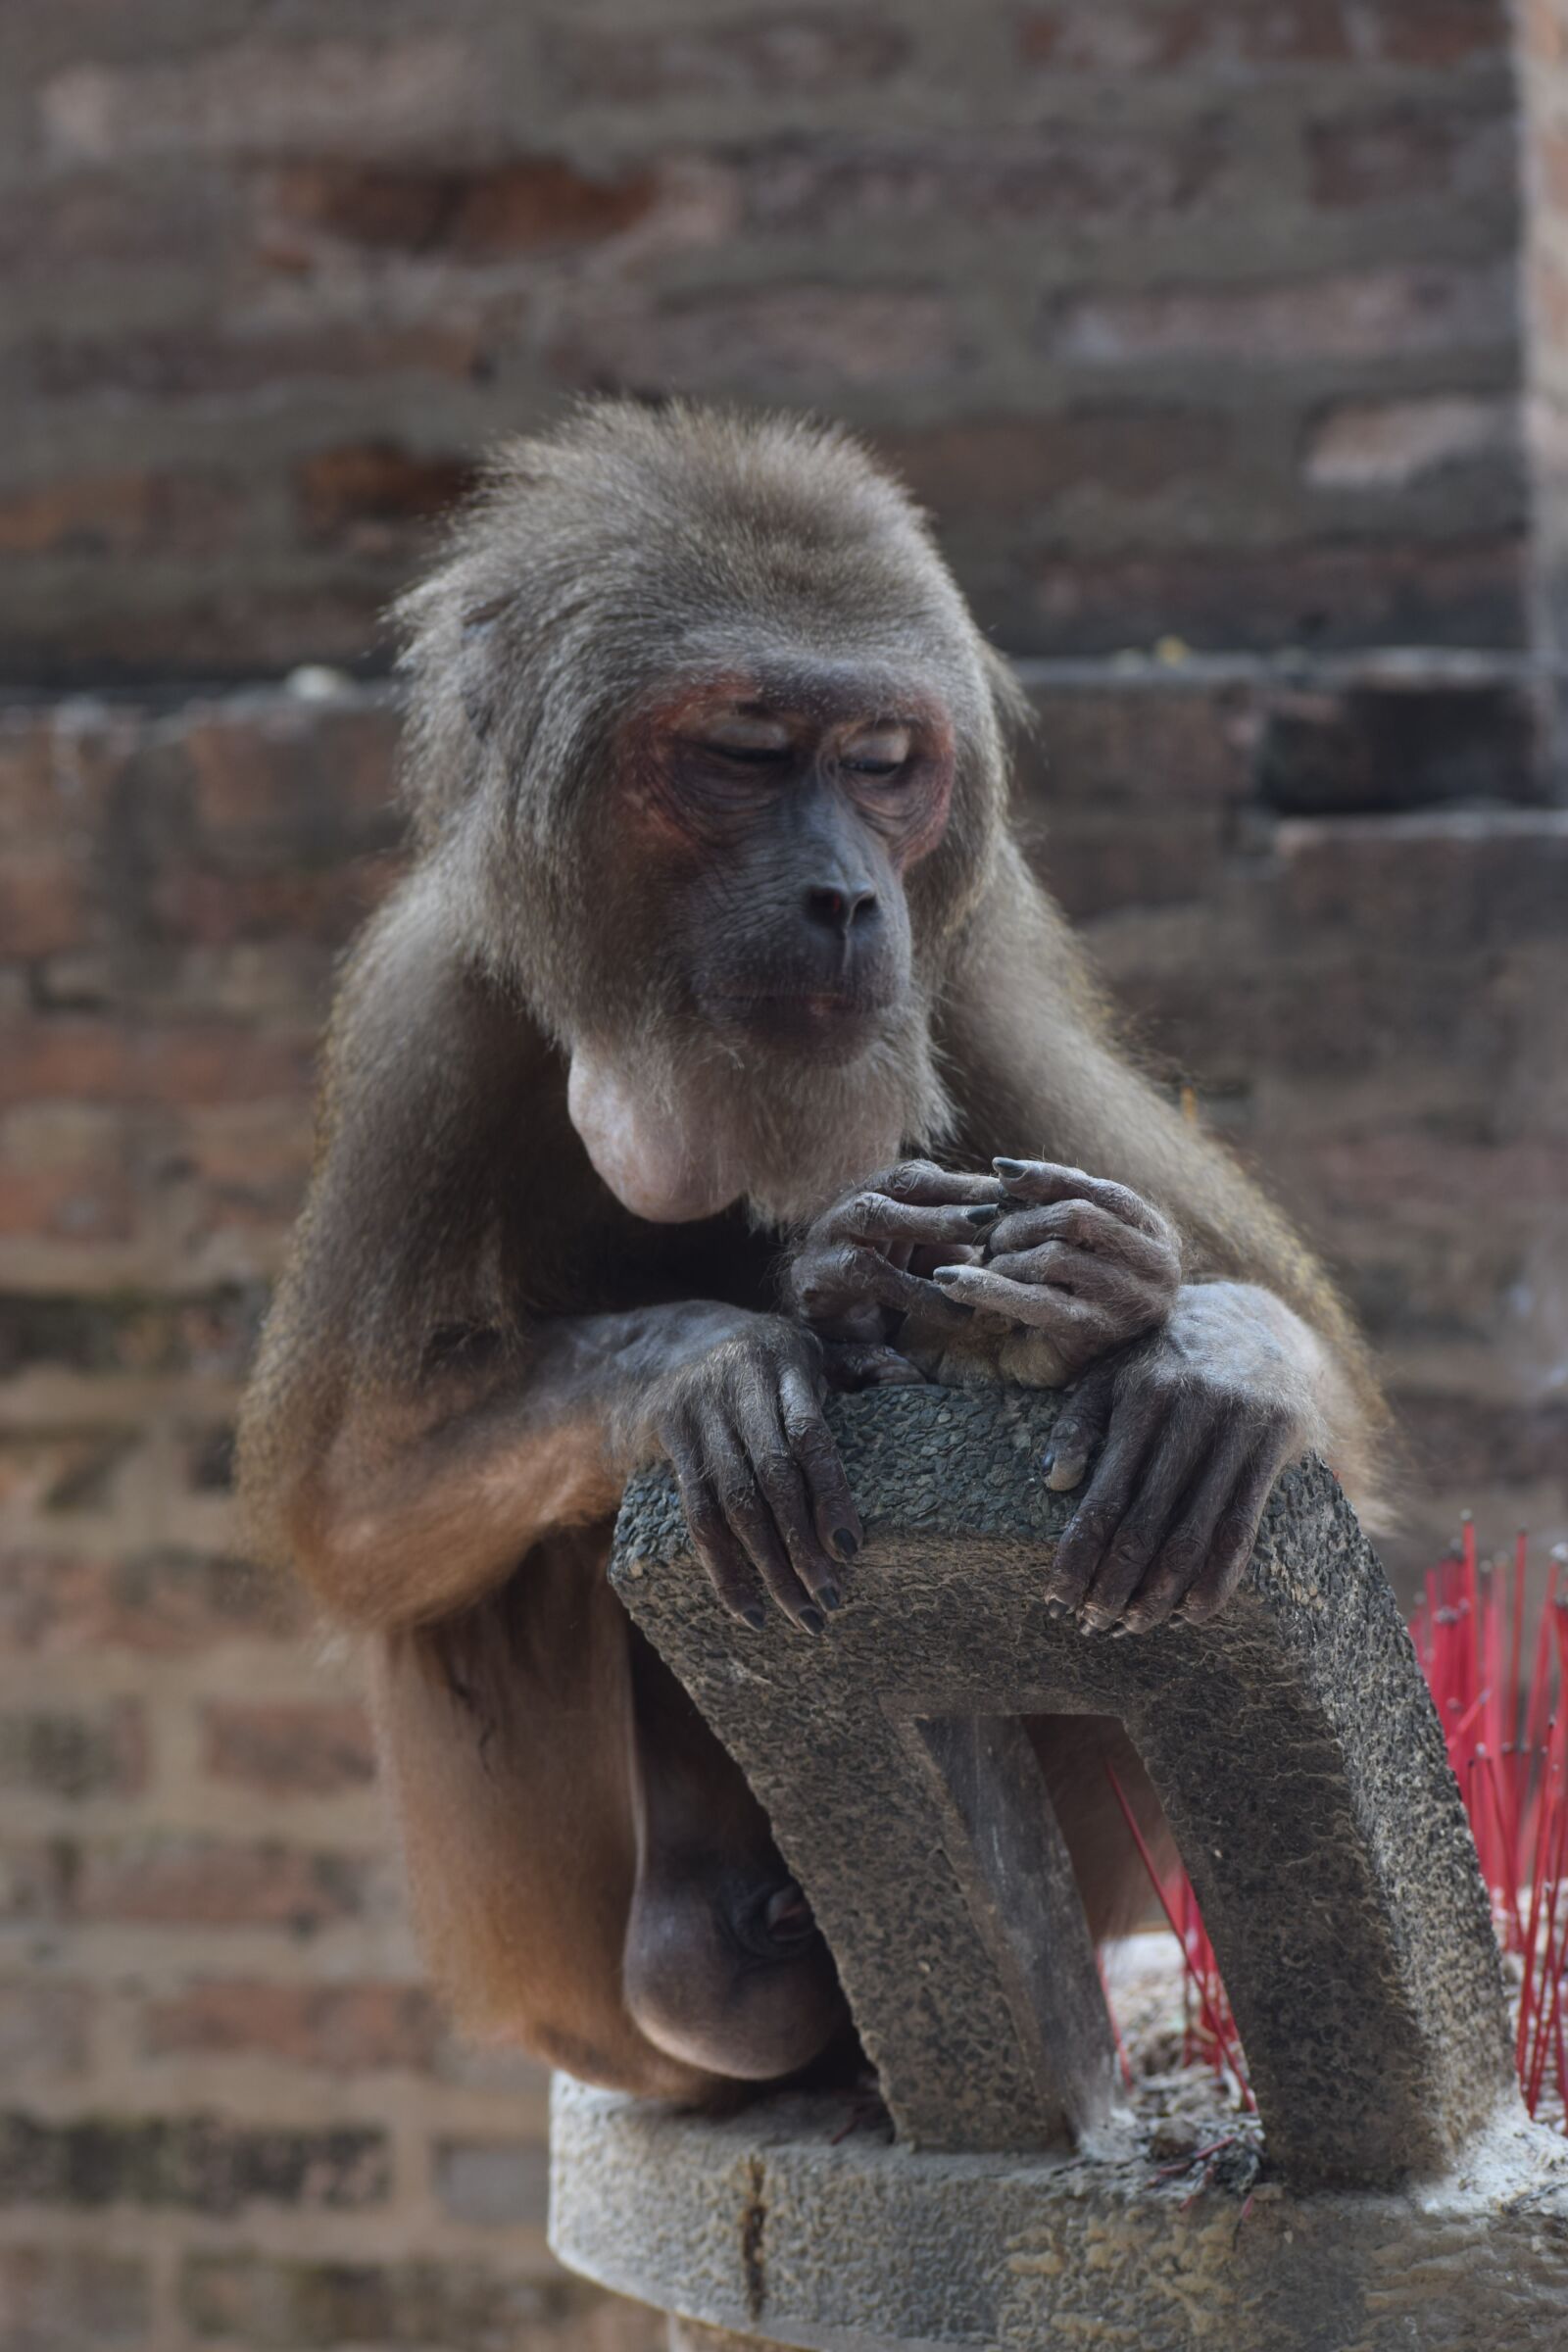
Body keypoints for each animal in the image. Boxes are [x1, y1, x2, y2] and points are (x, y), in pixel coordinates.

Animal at [236, 400, 1386, 2106]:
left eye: (883, 764)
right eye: (745, 754)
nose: (846, 897)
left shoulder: (974, 969)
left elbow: (1319, 1381)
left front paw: (1181, 1337)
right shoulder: (426, 1013)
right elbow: (347, 1513)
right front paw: (728, 1356)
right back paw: (713, 1948)